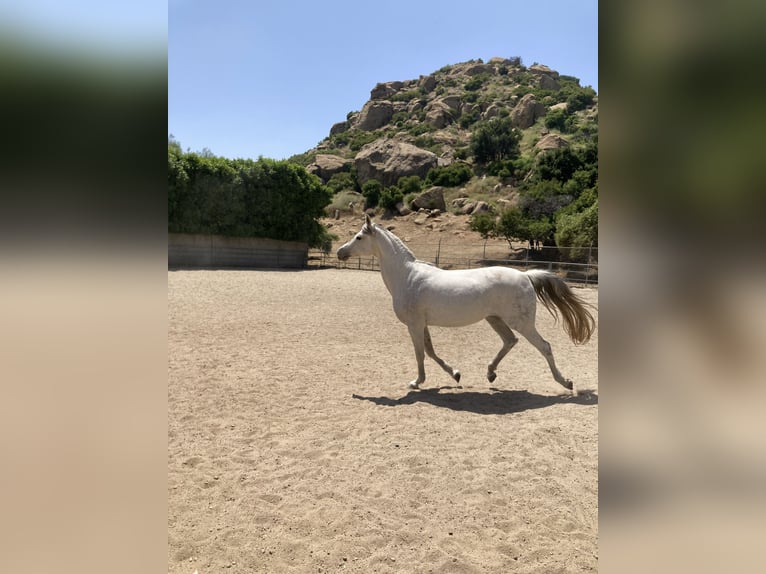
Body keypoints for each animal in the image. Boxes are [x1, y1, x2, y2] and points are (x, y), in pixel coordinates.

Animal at [337, 215, 595, 392]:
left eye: (359, 237)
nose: (340, 252)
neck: (406, 276)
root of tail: (526, 276)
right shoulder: (422, 324)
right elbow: (430, 351)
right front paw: (455, 374)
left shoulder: (414, 324)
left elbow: (420, 354)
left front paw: (416, 382)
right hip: (495, 319)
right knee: (510, 341)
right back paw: (490, 373)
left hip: (522, 323)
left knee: (544, 346)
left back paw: (565, 382)